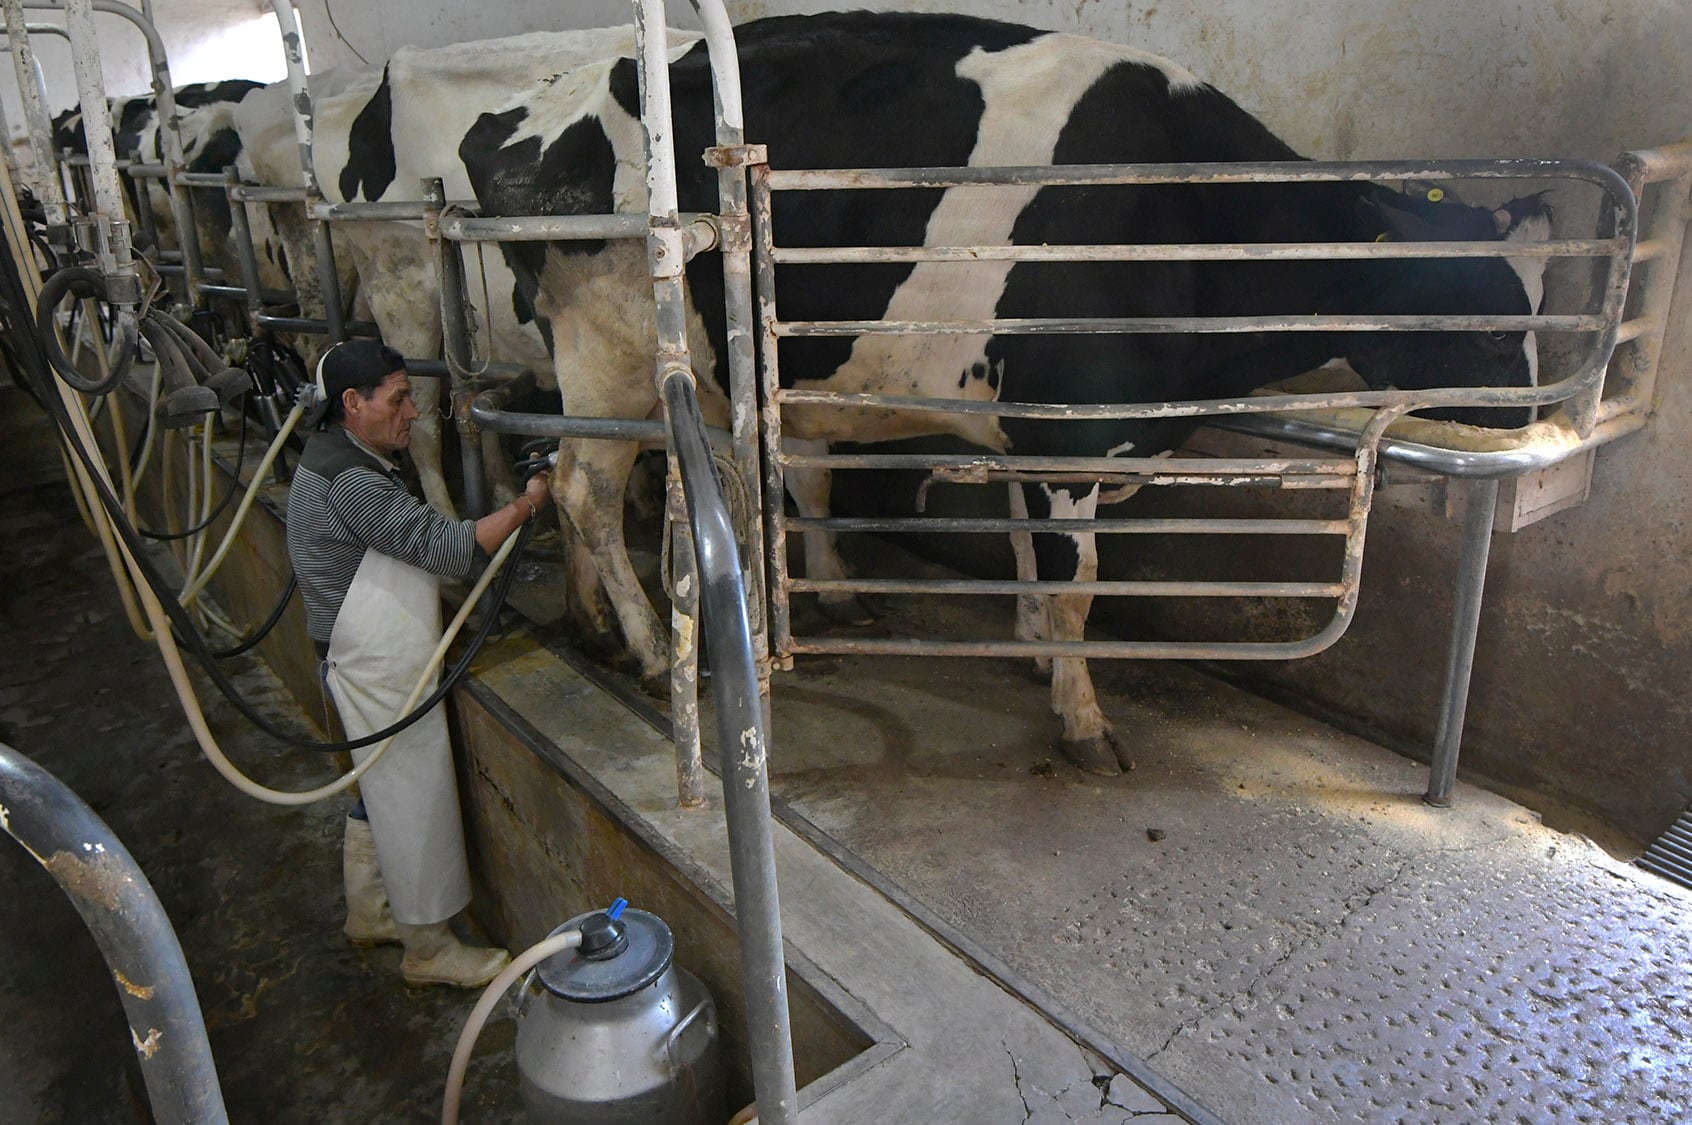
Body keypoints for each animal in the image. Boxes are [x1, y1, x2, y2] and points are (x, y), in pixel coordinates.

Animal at [456, 13, 1549, 771]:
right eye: (1494, 325)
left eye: (1543, 305)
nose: (1536, 427)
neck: (1189, 217)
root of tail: (524, 111)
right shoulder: (1069, 427)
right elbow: (1076, 585)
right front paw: (1082, 717)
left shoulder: (1039, 429)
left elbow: (1030, 552)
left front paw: (1032, 656)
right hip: (614, 355)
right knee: (587, 491)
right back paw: (647, 648)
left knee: (629, 487)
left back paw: (615, 622)